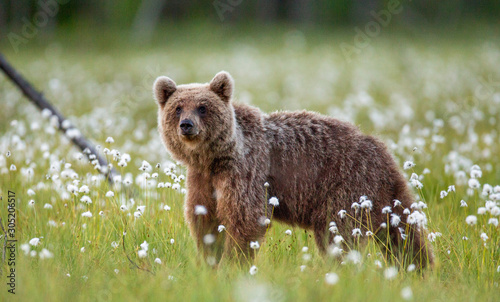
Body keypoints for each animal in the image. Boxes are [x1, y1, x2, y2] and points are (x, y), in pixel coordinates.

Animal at [153, 71, 434, 268]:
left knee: (339, 233)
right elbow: (205, 220)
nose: (187, 125)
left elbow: (244, 219)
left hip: (346, 185)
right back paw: (419, 267)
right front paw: (209, 260)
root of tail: (382, 150)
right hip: (380, 193)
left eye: (203, 107)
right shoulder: (203, 179)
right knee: (402, 232)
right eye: (178, 108)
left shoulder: (246, 171)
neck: (214, 158)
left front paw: (231, 264)